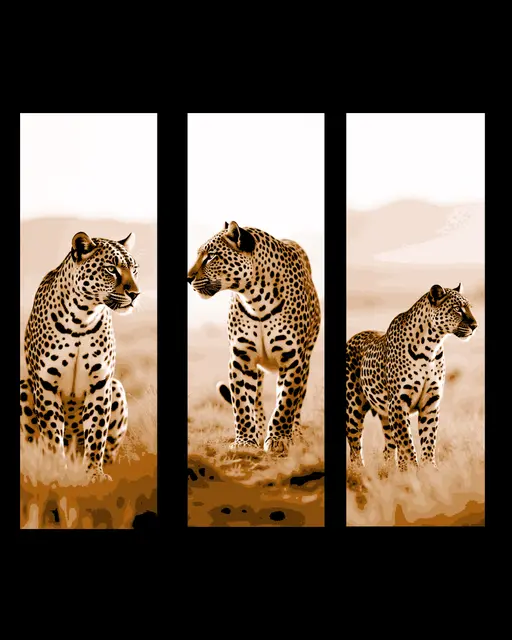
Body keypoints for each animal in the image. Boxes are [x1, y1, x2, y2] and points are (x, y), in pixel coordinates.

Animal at [20, 231, 140, 483]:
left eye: (134, 270)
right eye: (111, 269)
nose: (135, 294)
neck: (81, 318)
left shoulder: (100, 384)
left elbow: (96, 434)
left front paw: (94, 473)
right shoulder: (46, 384)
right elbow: (52, 436)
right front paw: (57, 471)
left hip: (117, 387)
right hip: (24, 387)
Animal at [188, 221, 321, 454]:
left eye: (211, 256)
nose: (187, 278)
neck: (256, 299)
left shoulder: (292, 359)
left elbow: (285, 403)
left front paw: (279, 439)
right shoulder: (241, 358)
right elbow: (242, 402)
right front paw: (245, 442)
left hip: (306, 360)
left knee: (297, 400)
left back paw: (294, 433)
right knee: (256, 397)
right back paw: (258, 430)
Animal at [346, 283, 478, 471]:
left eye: (469, 308)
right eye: (457, 309)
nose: (475, 325)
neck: (431, 346)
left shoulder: (430, 402)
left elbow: (428, 439)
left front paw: (429, 470)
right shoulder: (399, 402)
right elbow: (407, 442)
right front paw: (413, 470)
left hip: (385, 415)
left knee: (388, 446)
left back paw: (390, 470)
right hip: (354, 408)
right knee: (355, 445)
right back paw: (359, 471)